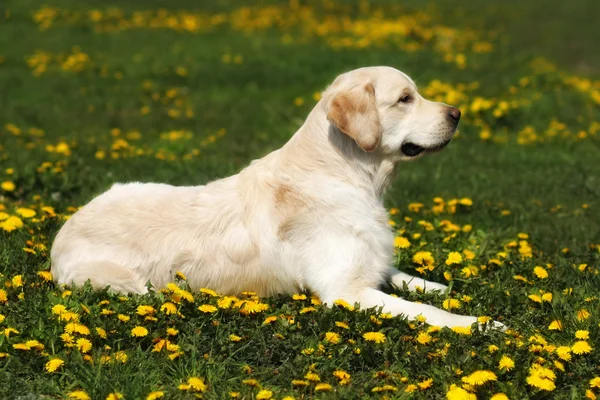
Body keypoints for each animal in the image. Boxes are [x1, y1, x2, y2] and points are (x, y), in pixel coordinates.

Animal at [49, 65, 504, 330]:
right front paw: (478, 322)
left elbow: (405, 279)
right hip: (125, 283)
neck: (344, 173)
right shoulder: (344, 290)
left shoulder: (365, 265)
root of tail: (62, 232)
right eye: (405, 99)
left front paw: (440, 286)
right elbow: (427, 312)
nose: (458, 114)